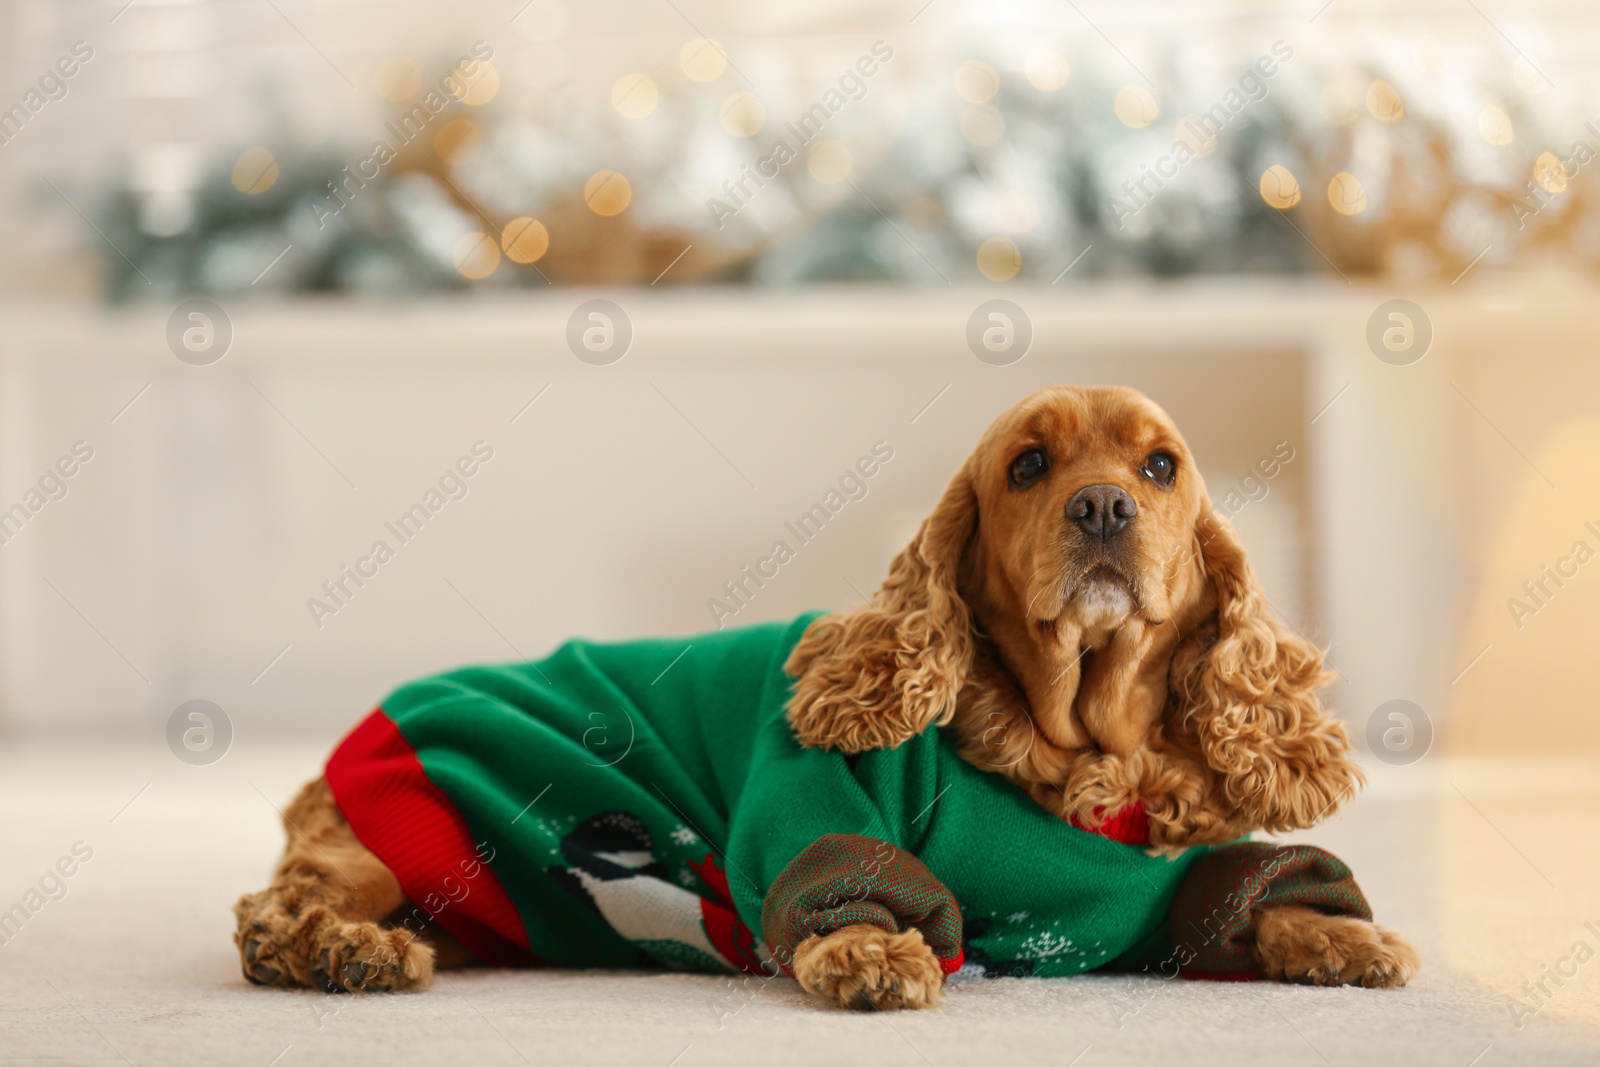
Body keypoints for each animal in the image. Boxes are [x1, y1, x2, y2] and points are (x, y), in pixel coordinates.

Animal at [233, 383, 1414, 1011]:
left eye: (1160, 466)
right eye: (1028, 465)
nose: (1102, 507)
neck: (1083, 755)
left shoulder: (1157, 892)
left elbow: (1248, 895)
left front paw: (1344, 941)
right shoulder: (805, 798)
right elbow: (840, 873)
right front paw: (870, 952)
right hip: (395, 841)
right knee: (276, 907)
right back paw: (342, 949)